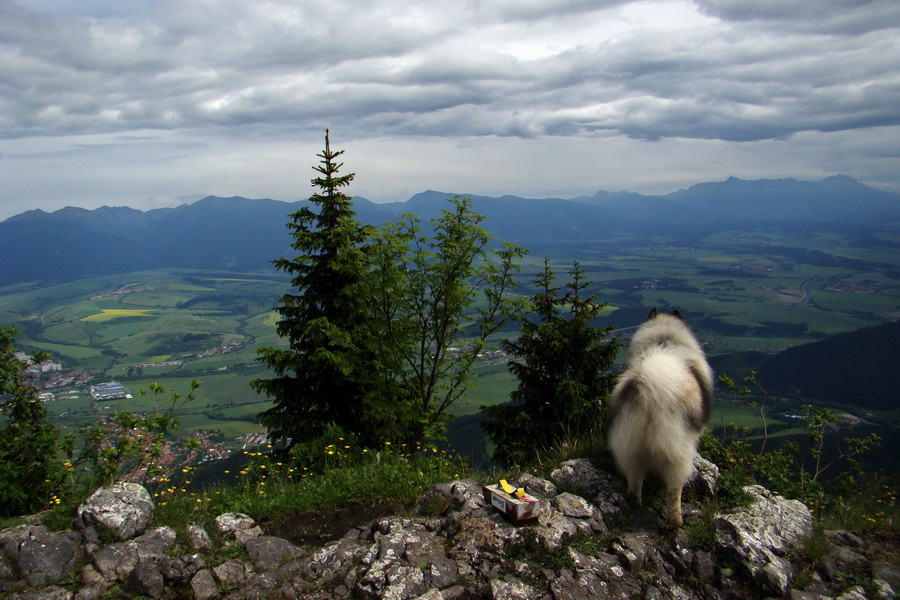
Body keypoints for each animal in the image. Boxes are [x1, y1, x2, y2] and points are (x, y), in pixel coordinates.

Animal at [608, 310, 712, 524]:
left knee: (634, 482)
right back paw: (676, 521)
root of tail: (650, 388)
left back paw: (636, 505)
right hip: (677, 454)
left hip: (629, 446)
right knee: (674, 491)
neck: (665, 341)